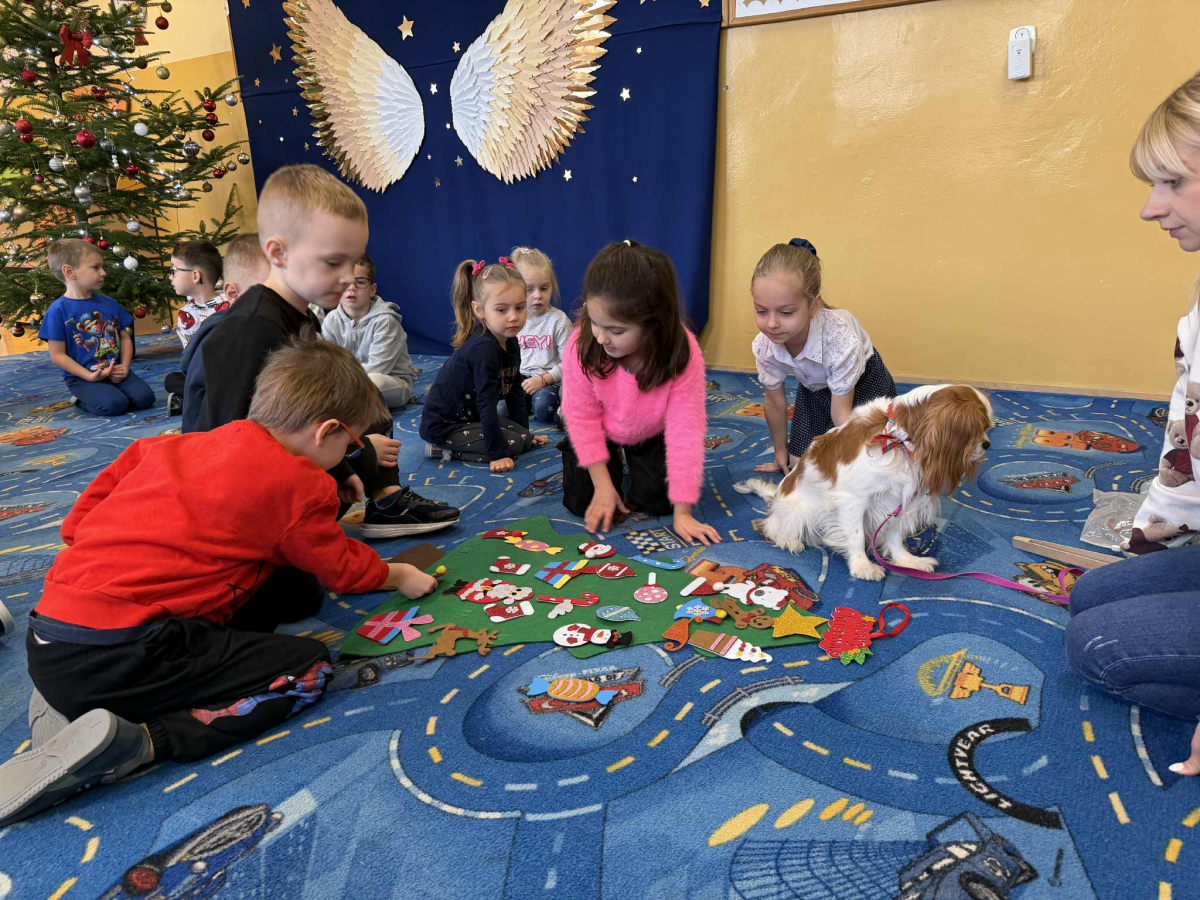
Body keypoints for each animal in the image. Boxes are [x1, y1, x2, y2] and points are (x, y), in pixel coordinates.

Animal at [736, 385, 993, 581]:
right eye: (977, 429)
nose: (987, 444)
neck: (897, 438)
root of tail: (777, 496)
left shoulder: (898, 500)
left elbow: (895, 534)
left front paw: (906, 560)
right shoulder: (854, 501)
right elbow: (857, 535)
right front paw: (863, 566)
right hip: (801, 510)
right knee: (771, 526)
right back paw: (789, 540)